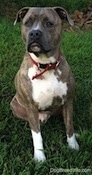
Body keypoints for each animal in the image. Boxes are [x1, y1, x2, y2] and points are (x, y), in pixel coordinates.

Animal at [10, 7, 78, 162]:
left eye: (49, 24)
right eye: (27, 23)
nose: (34, 33)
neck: (45, 65)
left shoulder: (68, 101)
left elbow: (69, 126)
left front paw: (73, 146)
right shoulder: (31, 107)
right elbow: (37, 135)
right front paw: (40, 158)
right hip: (16, 106)